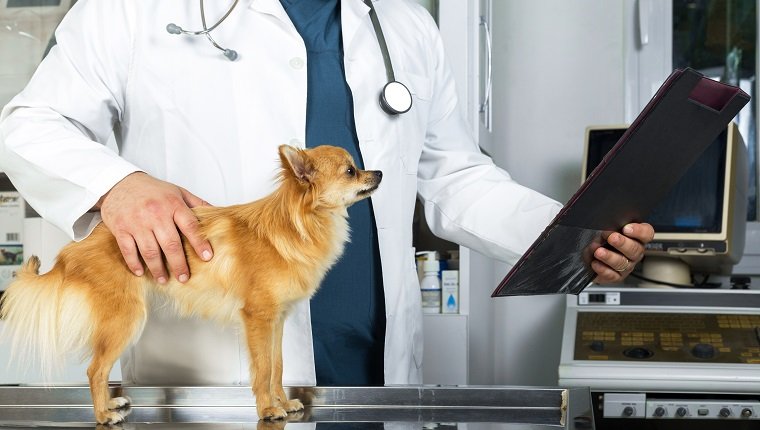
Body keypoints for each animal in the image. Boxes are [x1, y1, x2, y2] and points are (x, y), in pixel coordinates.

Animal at [0, 144, 380, 424]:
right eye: (350, 171)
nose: (377, 172)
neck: (299, 225)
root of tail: (74, 248)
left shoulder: (276, 321)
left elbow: (276, 367)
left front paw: (283, 403)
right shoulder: (258, 318)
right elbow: (262, 369)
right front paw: (268, 409)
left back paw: (111, 404)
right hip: (126, 319)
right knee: (95, 369)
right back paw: (104, 414)